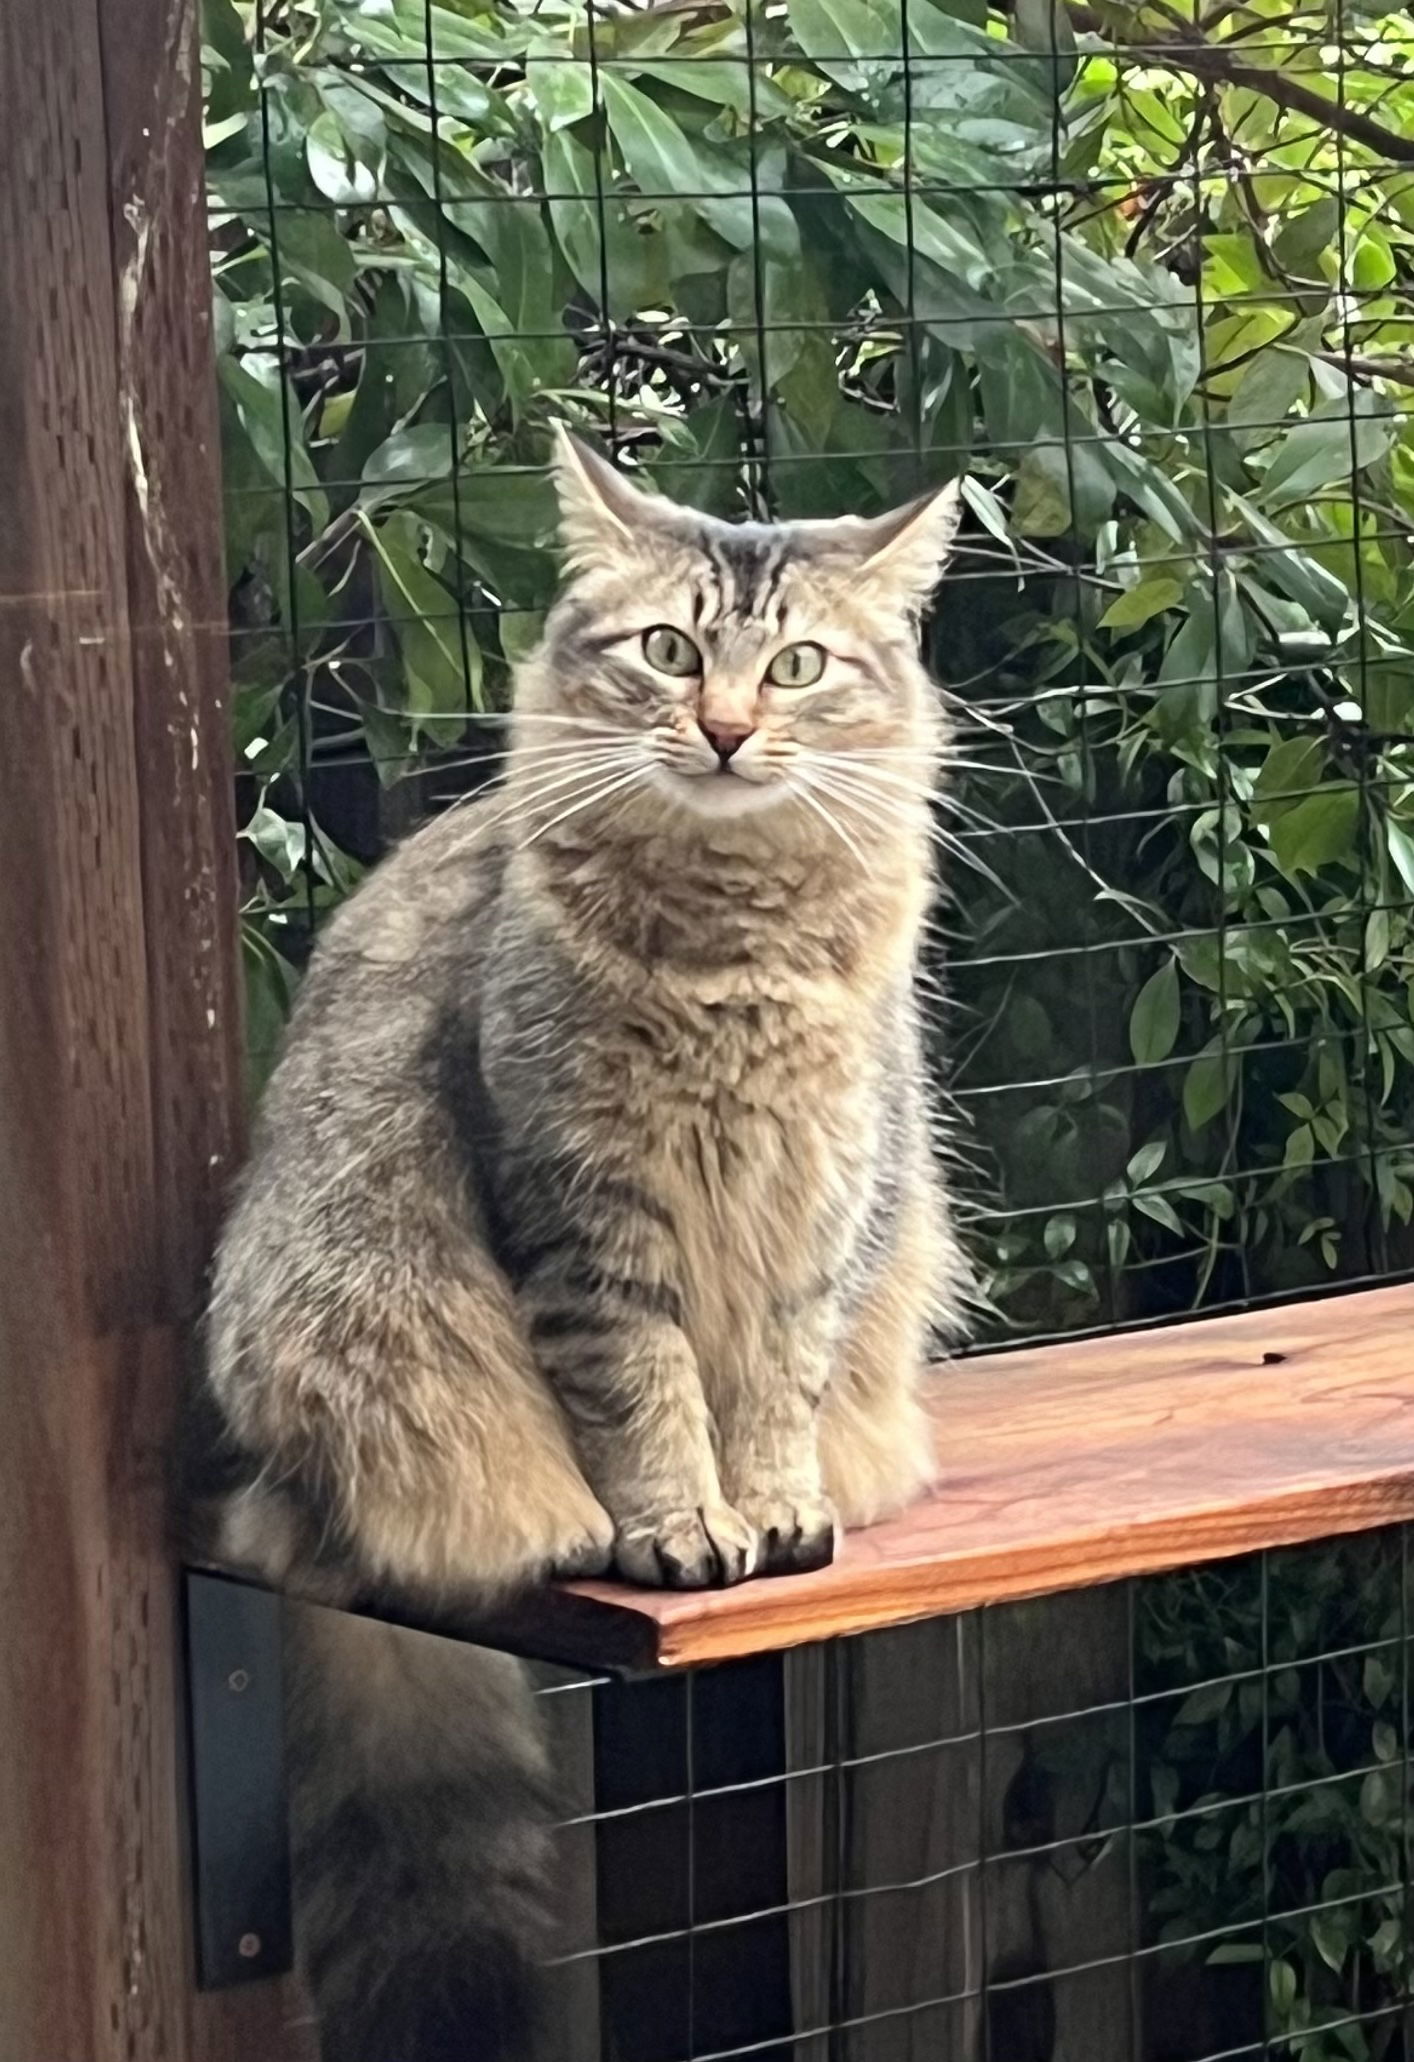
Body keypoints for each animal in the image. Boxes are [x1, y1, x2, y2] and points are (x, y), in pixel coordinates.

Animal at [202, 426, 972, 2053]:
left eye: (797, 664)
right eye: (671, 651)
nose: (730, 730)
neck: (734, 952)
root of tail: (254, 1488)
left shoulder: (815, 1214)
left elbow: (774, 1396)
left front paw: (780, 1508)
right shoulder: (583, 1221)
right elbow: (647, 1401)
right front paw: (681, 1527)